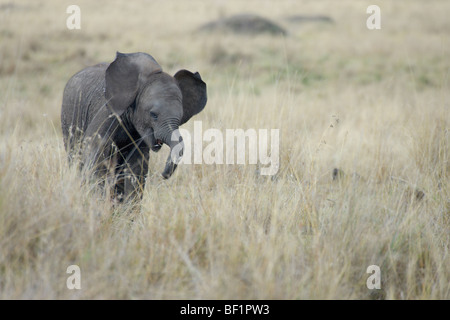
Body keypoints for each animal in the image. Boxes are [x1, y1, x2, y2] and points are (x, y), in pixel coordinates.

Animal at [60, 52, 207, 202]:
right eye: (153, 115)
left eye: (180, 116)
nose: (164, 175)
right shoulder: (107, 113)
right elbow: (95, 155)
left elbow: (136, 167)